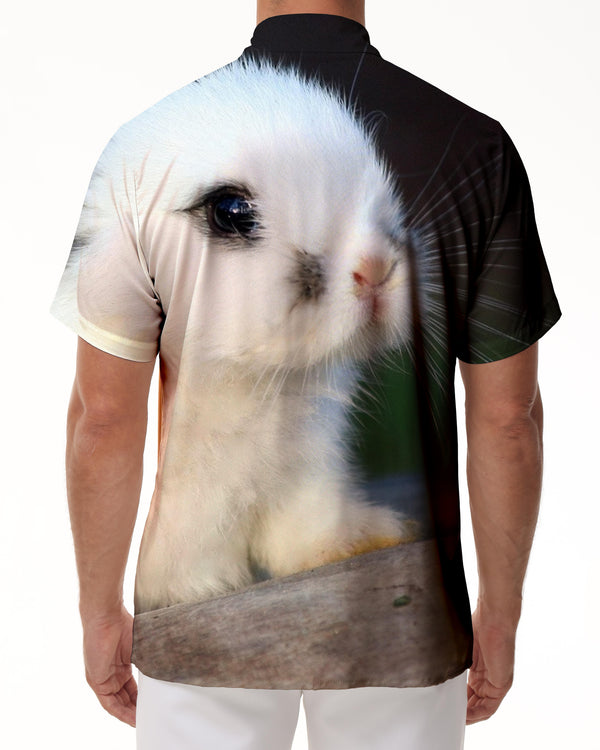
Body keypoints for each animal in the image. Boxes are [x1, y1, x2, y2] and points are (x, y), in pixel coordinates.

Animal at [76, 58, 419, 612]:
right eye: (231, 212)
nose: (375, 269)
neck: (248, 380)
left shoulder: (305, 470)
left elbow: (306, 535)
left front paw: (374, 535)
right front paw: (210, 588)